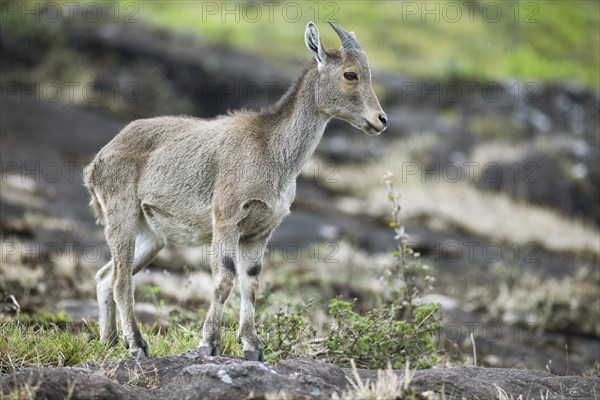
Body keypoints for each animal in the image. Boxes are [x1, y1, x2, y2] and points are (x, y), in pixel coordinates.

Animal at [83, 20, 384, 360]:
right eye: (350, 74)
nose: (380, 120)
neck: (271, 151)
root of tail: (97, 161)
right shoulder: (226, 219)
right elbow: (224, 278)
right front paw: (209, 343)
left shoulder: (259, 231)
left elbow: (250, 283)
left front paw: (252, 346)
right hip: (121, 215)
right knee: (121, 279)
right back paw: (136, 344)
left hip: (152, 235)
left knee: (105, 276)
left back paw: (109, 342)